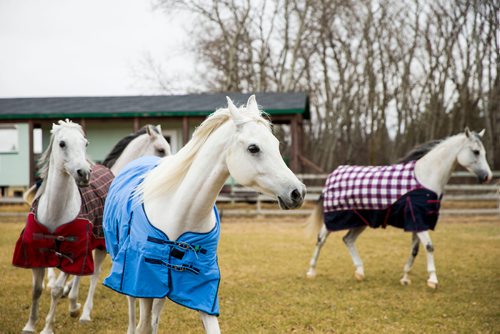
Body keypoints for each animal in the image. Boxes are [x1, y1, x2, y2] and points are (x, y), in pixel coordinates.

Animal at [102, 96, 304, 334]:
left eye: (276, 144)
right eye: (253, 148)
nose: (298, 192)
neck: (178, 212)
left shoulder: (201, 290)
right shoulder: (141, 280)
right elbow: (143, 323)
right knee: (133, 309)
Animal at [304, 128, 492, 290]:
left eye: (484, 152)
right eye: (476, 151)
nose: (487, 177)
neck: (425, 177)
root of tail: (334, 173)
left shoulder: (418, 222)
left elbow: (415, 250)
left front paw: (405, 278)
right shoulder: (418, 221)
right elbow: (429, 246)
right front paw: (432, 280)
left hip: (361, 220)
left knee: (348, 239)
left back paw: (359, 272)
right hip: (336, 217)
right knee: (321, 239)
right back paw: (311, 272)